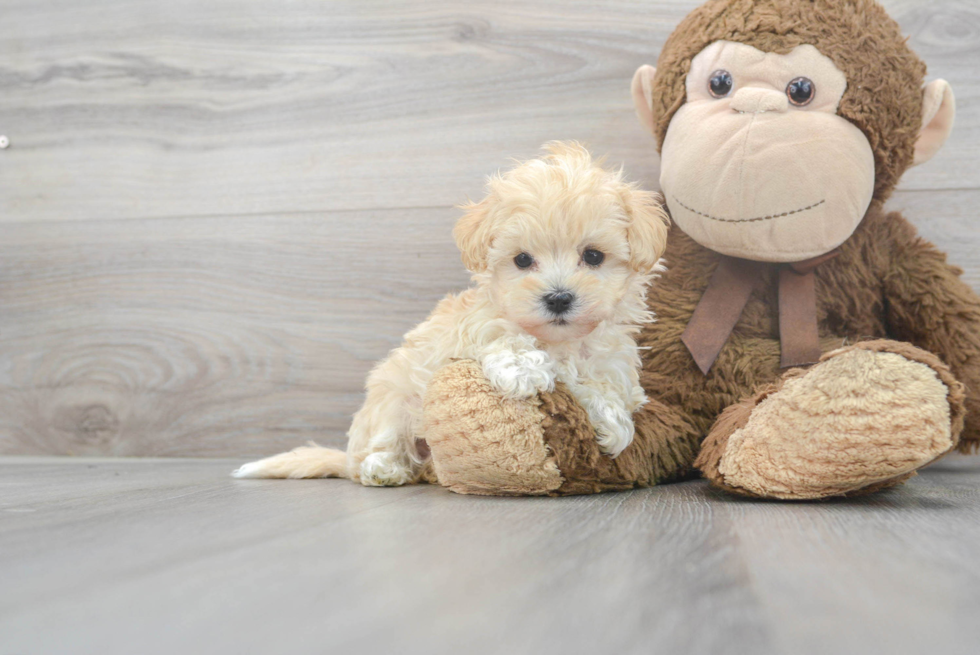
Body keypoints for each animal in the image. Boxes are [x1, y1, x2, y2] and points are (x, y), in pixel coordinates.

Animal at [234, 144, 668, 486]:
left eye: (593, 256)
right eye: (522, 260)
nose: (558, 298)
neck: (559, 341)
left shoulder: (610, 358)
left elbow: (606, 385)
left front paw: (612, 423)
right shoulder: (471, 328)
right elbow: (502, 334)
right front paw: (523, 368)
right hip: (391, 395)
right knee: (382, 444)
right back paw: (384, 468)